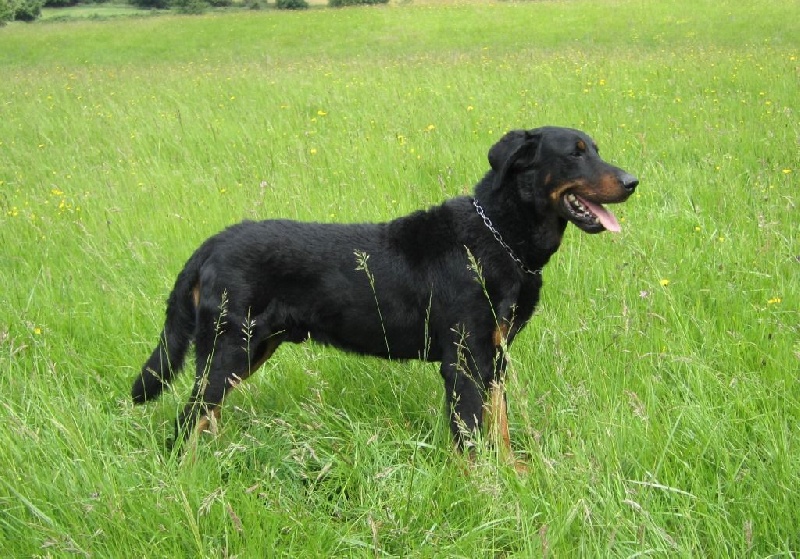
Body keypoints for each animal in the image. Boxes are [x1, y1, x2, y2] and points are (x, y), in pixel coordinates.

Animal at [134, 127, 640, 460]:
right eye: (575, 154)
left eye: (596, 150)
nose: (633, 181)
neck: (498, 237)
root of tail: (211, 244)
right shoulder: (463, 360)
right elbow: (469, 437)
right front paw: (482, 490)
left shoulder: (493, 359)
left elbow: (500, 429)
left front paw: (513, 476)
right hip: (228, 350)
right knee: (188, 421)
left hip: (250, 350)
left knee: (206, 417)